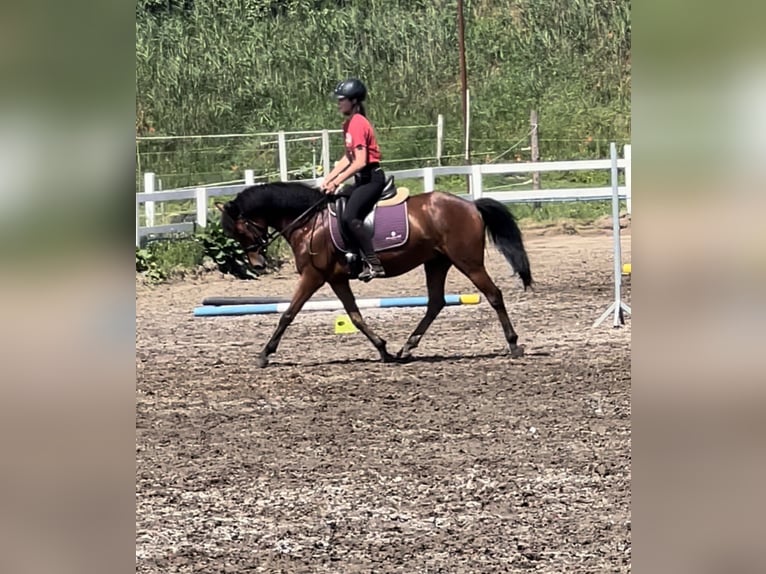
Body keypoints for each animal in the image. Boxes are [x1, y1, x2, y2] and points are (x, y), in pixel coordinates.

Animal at [213, 181, 532, 368]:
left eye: (240, 230)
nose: (257, 265)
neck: (309, 221)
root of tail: (470, 204)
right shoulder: (336, 278)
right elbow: (354, 316)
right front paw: (383, 349)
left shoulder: (314, 276)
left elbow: (288, 314)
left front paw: (265, 354)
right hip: (437, 262)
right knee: (435, 303)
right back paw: (406, 348)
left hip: (467, 261)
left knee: (493, 294)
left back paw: (514, 344)